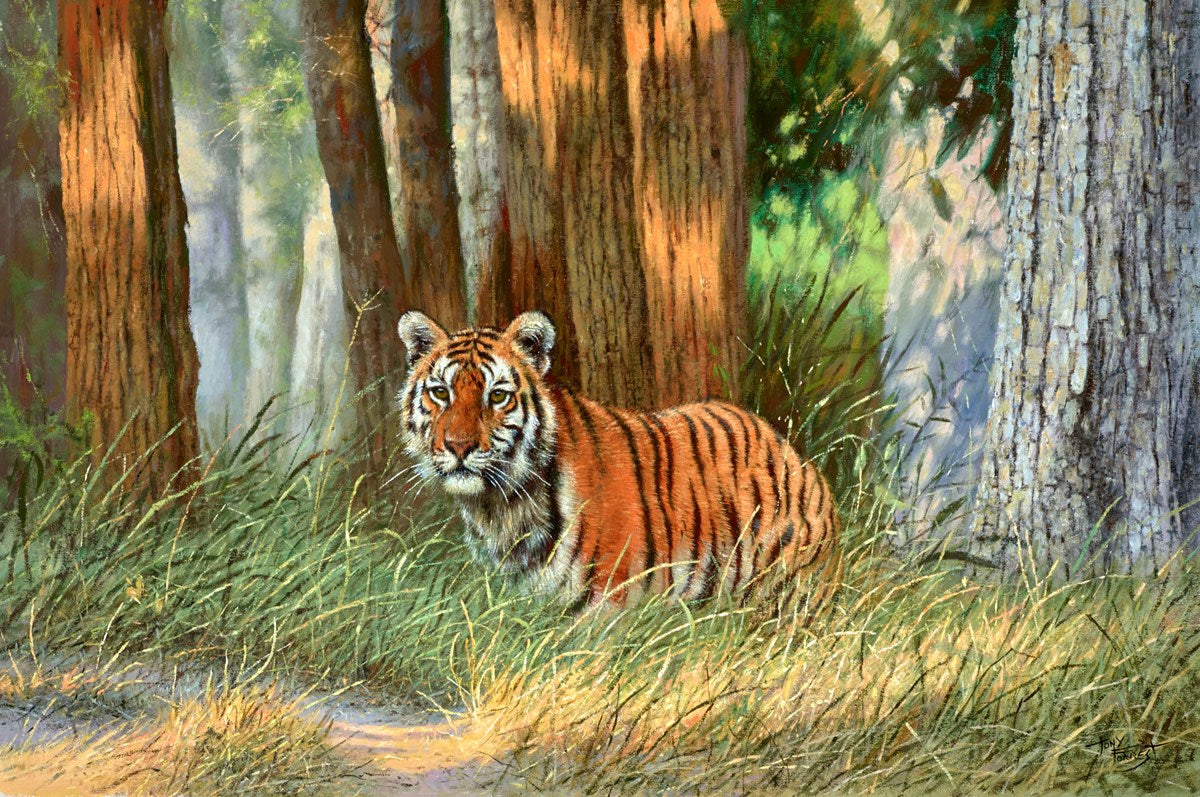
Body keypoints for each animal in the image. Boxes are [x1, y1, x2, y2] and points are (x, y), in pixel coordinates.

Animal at [396, 310, 842, 612]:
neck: (500, 509)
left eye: (498, 396)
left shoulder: (607, 602)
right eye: (440, 393)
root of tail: (799, 459)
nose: (458, 446)